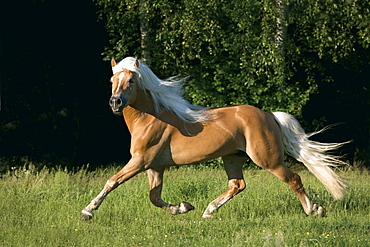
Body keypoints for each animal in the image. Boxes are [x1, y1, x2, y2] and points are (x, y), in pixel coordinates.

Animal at [79, 56, 348, 220]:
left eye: (131, 80)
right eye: (112, 80)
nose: (115, 102)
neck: (150, 117)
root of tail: (269, 115)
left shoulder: (140, 161)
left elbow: (112, 182)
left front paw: (87, 212)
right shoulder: (155, 166)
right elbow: (154, 197)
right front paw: (183, 207)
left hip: (268, 159)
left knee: (294, 179)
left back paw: (314, 210)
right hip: (233, 158)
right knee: (237, 185)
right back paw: (208, 211)